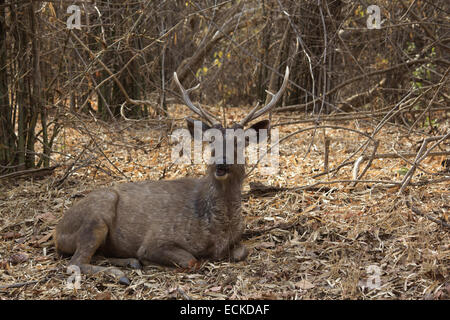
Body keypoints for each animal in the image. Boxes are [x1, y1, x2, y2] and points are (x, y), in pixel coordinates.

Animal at [54, 66, 290, 284]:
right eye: (211, 141)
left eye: (241, 142)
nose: (221, 164)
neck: (217, 228)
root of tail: (57, 232)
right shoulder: (156, 238)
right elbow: (191, 260)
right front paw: (152, 263)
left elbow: (243, 252)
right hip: (97, 215)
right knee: (75, 263)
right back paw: (121, 273)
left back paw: (129, 263)